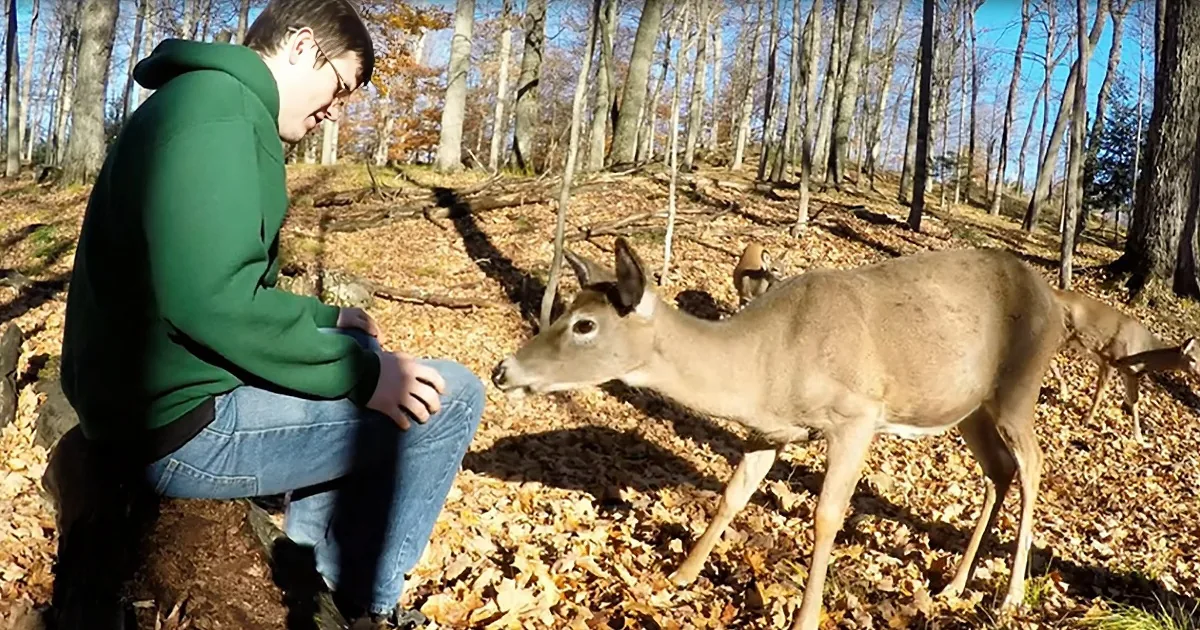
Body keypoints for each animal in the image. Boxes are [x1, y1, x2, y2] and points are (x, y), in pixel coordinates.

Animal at [491, 238, 1065, 630]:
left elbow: (827, 515)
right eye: (566, 310)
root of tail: (1056, 301)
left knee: (1033, 464)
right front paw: (680, 576)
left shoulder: (857, 415)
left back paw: (1011, 595)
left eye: (584, 324)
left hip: (1019, 385)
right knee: (998, 471)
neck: (769, 363)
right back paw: (954, 585)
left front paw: (806, 618)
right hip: (968, 406)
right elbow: (732, 495)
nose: (502, 371)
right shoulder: (770, 431)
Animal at [1049, 289, 1185, 442]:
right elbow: (1100, 394)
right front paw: (1087, 420)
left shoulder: (1129, 374)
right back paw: (1063, 391)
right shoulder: (1110, 360)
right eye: (1193, 358)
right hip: (1063, 333)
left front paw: (1139, 438)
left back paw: (1063, 391)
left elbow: (1134, 401)